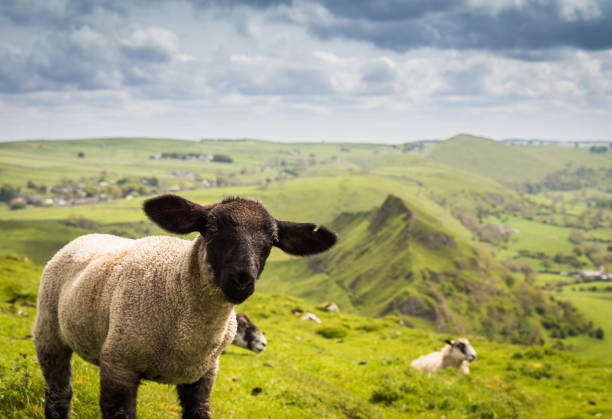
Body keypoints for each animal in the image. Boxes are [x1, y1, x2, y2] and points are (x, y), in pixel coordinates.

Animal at [34, 195, 338, 418]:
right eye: (211, 228)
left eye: (273, 241)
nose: (242, 280)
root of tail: (88, 236)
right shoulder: (119, 368)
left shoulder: (203, 377)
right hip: (48, 332)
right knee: (59, 394)